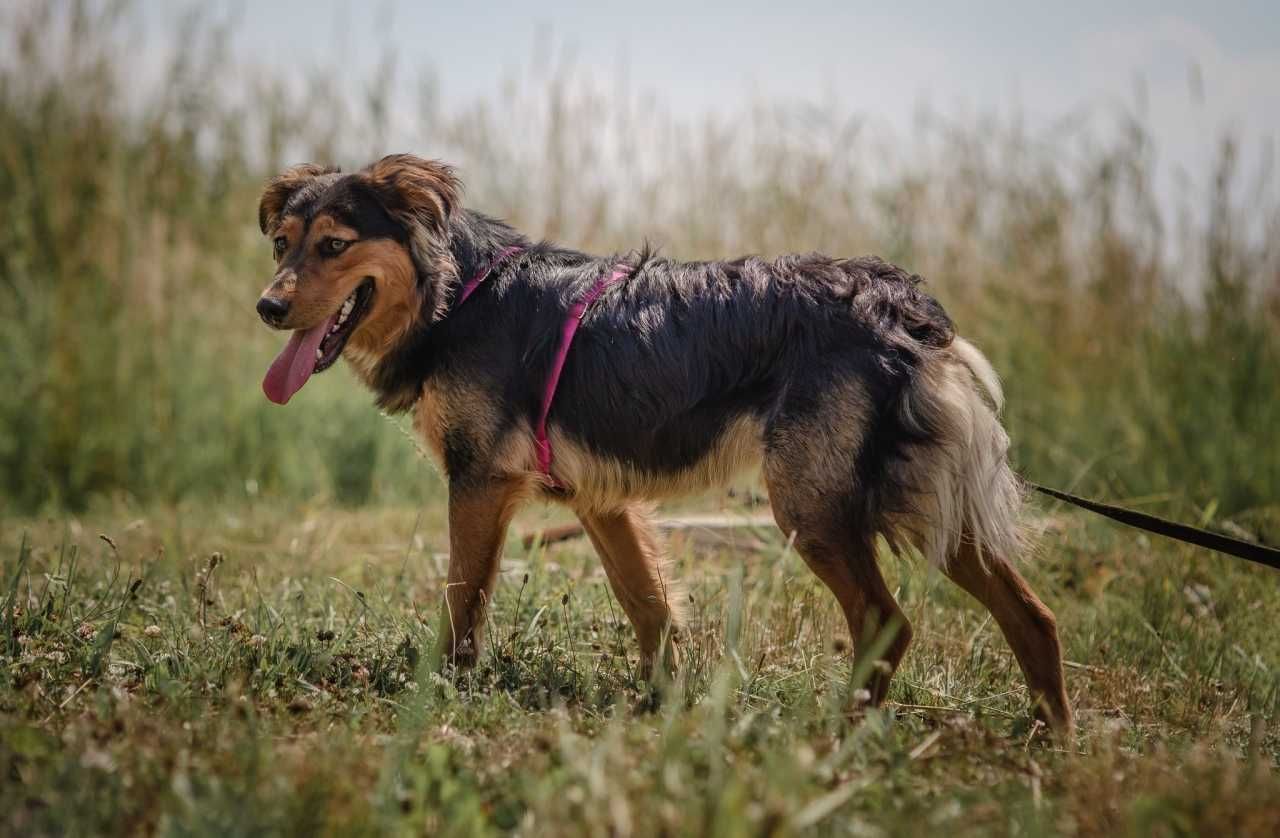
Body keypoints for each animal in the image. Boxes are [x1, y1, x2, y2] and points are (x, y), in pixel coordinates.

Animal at [249, 154, 1070, 736]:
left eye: (334, 245)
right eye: (282, 245)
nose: (266, 307)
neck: (459, 295)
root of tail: (900, 306)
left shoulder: (479, 483)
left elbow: (462, 604)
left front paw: (441, 693)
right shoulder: (600, 503)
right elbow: (650, 607)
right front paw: (666, 703)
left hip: (813, 505)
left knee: (884, 623)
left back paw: (837, 745)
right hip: (929, 501)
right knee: (1033, 617)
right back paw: (1052, 744)